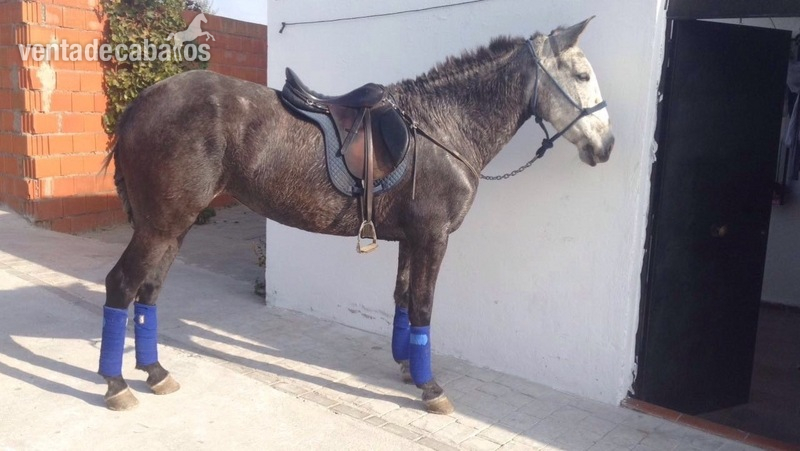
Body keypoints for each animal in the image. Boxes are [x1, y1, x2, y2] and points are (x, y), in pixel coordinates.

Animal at [98, 18, 614, 413]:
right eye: (582, 75)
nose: (607, 145)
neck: (444, 127)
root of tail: (141, 105)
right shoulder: (433, 236)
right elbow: (423, 305)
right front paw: (431, 388)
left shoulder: (411, 237)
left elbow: (403, 300)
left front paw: (408, 367)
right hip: (161, 225)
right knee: (121, 286)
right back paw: (117, 385)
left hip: (174, 225)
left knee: (149, 291)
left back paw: (155, 372)